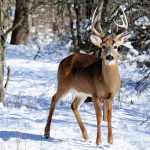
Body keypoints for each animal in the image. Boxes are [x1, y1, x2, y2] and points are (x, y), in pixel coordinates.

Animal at [44, 5, 131, 145]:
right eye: (103, 46)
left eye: (116, 47)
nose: (109, 57)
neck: (108, 83)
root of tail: (63, 61)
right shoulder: (95, 94)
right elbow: (99, 116)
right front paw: (99, 141)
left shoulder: (111, 96)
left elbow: (109, 116)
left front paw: (110, 141)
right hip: (63, 84)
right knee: (54, 98)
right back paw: (47, 133)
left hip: (82, 92)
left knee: (73, 105)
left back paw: (86, 136)